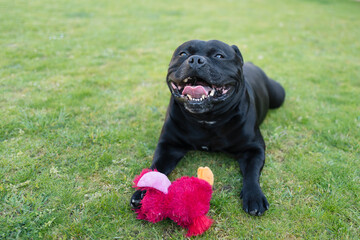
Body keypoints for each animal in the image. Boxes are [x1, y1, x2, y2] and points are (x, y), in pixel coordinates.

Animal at [131, 39, 286, 216]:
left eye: (219, 55)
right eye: (183, 53)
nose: (195, 60)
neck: (206, 119)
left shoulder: (254, 149)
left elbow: (252, 173)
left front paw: (254, 196)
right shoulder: (169, 146)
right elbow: (155, 168)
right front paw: (144, 192)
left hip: (278, 95)